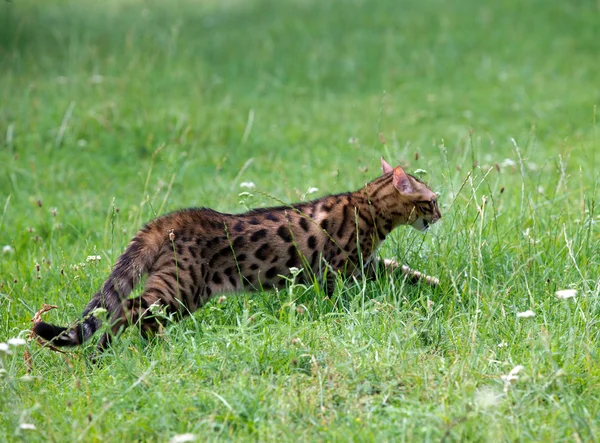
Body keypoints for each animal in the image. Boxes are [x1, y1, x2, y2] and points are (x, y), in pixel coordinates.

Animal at [35, 158, 442, 356]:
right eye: (432, 201)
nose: (441, 213)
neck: (366, 205)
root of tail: (174, 217)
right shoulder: (340, 271)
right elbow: (343, 299)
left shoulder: (367, 265)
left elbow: (403, 270)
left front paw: (436, 283)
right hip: (182, 287)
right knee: (131, 308)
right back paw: (137, 350)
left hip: (178, 288)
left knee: (125, 311)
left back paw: (115, 352)